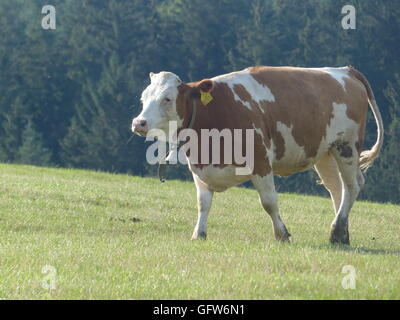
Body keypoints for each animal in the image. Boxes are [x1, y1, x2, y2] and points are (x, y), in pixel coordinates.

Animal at [132, 65, 384, 245]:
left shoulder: (260, 161)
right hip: (326, 153)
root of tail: (345, 70)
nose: (138, 122)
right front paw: (199, 233)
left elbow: (269, 202)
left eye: (167, 98)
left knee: (352, 186)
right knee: (337, 188)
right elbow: (203, 203)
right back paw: (342, 233)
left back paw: (337, 230)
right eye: (143, 98)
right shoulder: (200, 167)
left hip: (346, 146)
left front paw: (282, 234)